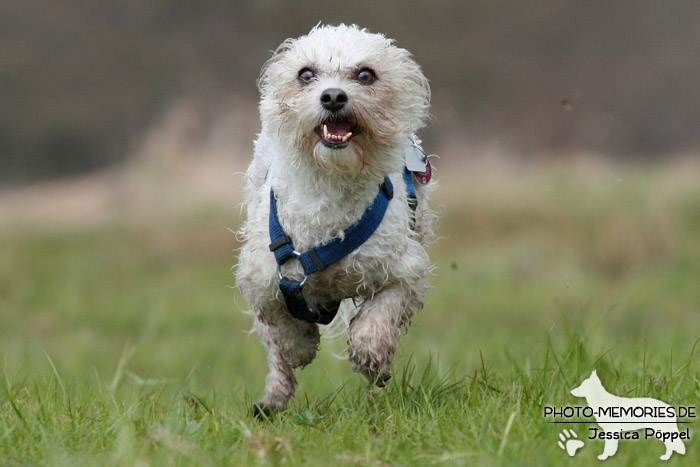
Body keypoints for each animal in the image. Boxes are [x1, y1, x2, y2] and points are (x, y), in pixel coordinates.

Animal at [237, 24, 432, 416]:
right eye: (306, 74)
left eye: (366, 75)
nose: (333, 96)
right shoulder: (262, 278)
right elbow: (282, 330)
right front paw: (300, 345)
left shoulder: (404, 268)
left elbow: (381, 316)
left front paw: (373, 358)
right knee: (275, 354)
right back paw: (272, 400)